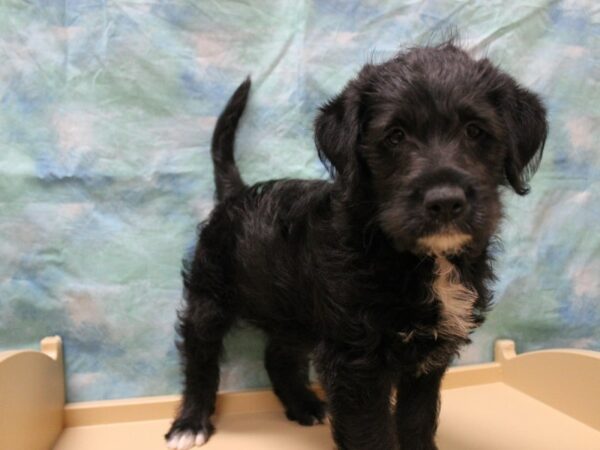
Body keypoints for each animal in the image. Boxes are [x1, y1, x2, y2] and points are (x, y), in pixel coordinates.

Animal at [166, 40, 548, 448]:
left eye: (475, 131)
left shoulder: (428, 356)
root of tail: (235, 194)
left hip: (295, 312)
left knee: (278, 356)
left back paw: (304, 405)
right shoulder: (356, 363)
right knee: (200, 357)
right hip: (210, 296)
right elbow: (371, 433)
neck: (419, 258)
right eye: (395, 136)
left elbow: (417, 419)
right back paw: (190, 424)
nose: (445, 201)